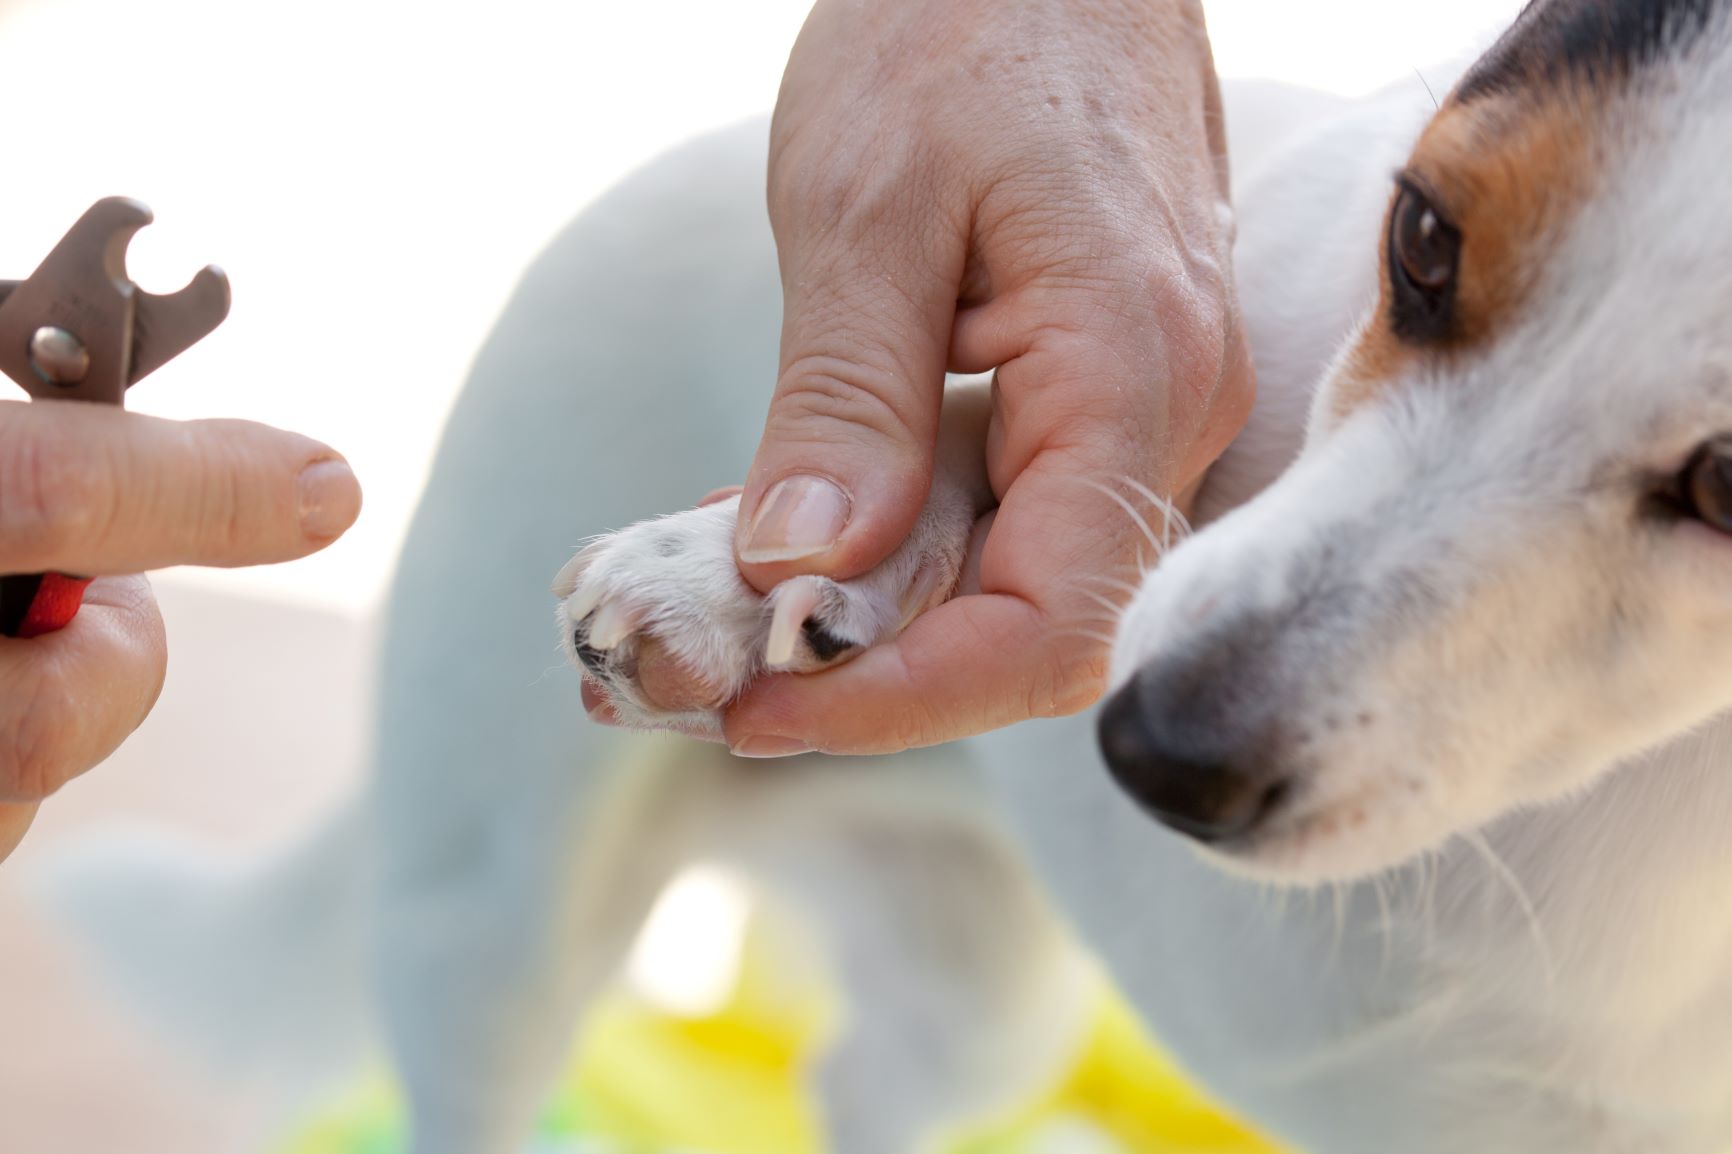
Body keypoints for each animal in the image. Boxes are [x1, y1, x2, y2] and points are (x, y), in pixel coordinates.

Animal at [43, 2, 1732, 1150]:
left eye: (1726, 481)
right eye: (1425, 240)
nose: (1148, 748)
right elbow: (982, 412)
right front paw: (743, 574)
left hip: (983, 1001)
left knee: (858, 1079)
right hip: (491, 929)